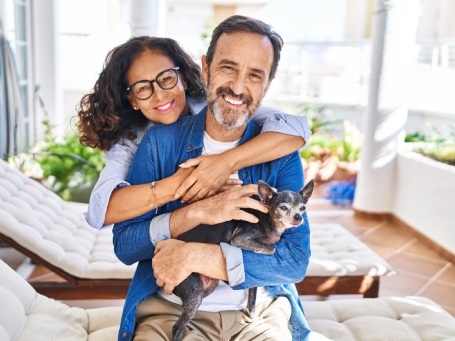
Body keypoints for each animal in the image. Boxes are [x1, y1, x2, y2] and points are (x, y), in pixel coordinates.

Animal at [171, 179, 314, 338]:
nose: (298, 217)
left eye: (302, 208)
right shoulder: (240, 239)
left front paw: (253, 318)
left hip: (206, 289)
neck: (268, 221)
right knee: (177, 327)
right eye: (283, 207)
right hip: (195, 294)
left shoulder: (252, 285)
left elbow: (252, 301)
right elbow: (271, 248)